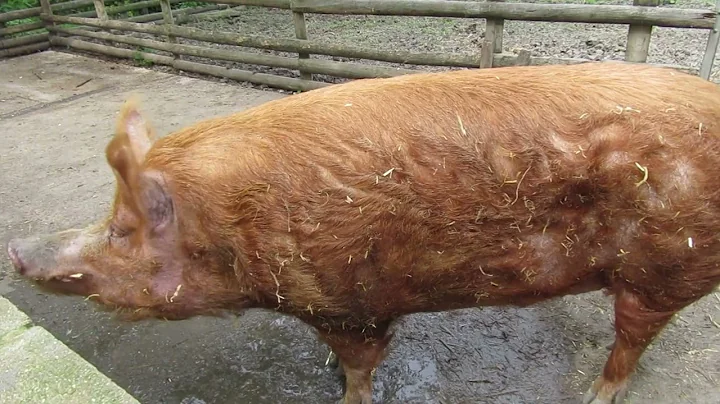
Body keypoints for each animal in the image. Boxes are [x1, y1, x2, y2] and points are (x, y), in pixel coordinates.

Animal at [6, 60, 720, 404]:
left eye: (122, 229)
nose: (13, 248)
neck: (232, 225)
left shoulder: (344, 302)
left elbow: (360, 366)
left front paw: (345, 392)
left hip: (667, 263)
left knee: (632, 341)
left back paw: (597, 397)